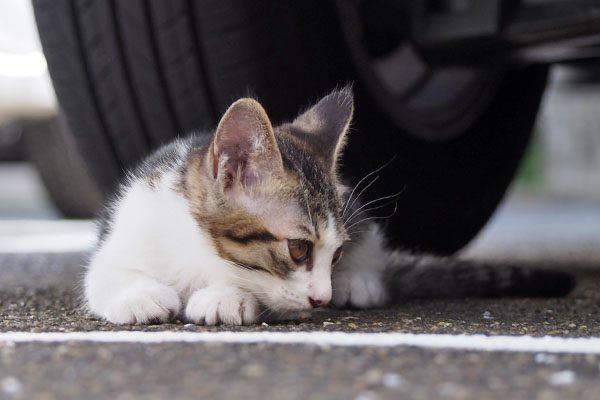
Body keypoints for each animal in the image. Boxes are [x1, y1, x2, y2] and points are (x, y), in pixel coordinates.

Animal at [83, 88, 390, 324]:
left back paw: (357, 281)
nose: (322, 299)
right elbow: (101, 274)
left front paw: (224, 297)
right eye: (298, 249)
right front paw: (140, 296)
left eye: (337, 253)